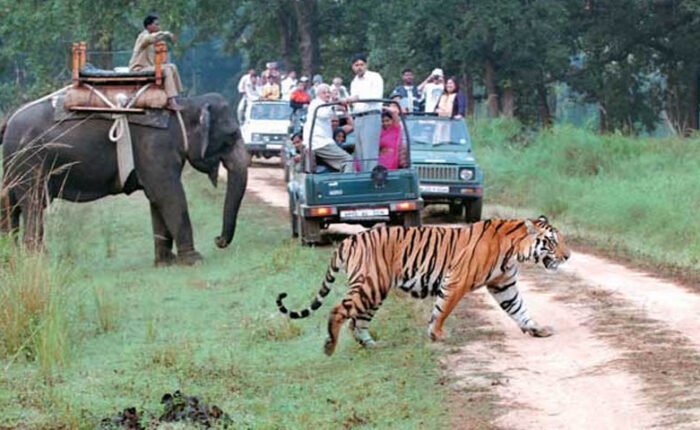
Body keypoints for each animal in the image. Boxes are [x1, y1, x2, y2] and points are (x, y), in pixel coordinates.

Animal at [0, 92, 249, 264]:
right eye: (232, 135)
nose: (218, 240)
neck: (184, 104)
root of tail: (9, 121)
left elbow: (157, 198)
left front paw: (166, 262)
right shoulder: (155, 145)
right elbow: (169, 194)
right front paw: (194, 260)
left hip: (14, 164)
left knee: (10, 206)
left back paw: (11, 257)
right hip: (30, 161)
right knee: (33, 204)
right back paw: (38, 259)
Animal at [274, 215, 568, 356]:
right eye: (552, 241)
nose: (567, 256)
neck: (514, 250)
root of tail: (350, 239)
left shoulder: (503, 285)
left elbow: (519, 309)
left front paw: (537, 329)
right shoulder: (456, 281)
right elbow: (443, 309)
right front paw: (437, 334)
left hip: (374, 291)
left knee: (357, 321)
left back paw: (370, 345)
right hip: (371, 285)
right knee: (338, 311)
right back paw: (330, 346)